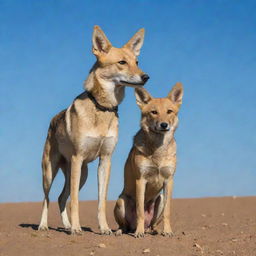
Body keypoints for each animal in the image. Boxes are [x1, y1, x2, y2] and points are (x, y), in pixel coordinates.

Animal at [38, 25, 149, 235]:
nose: (146, 77)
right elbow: (75, 201)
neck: (102, 108)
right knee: (47, 198)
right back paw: (44, 225)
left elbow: (101, 201)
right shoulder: (77, 157)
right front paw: (76, 228)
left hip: (81, 173)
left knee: (61, 197)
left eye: (137, 62)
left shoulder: (105, 160)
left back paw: (65, 225)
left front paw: (104, 228)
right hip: (51, 171)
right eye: (122, 62)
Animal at [114, 83, 184, 238]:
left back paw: (153, 230)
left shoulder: (169, 180)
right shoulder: (141, 180)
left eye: (169, 111)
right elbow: (140, 210)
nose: (164, 125)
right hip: (121, 201)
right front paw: (139, 233)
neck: (158, 150)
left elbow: (168, 212)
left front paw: (168, 231)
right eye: (153, 112)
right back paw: (126, 230)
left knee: (152, 224)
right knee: (125, 226)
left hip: (160, 199)